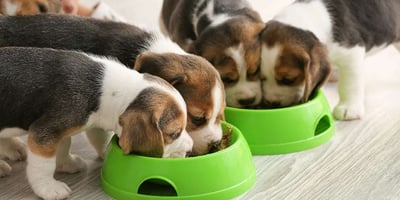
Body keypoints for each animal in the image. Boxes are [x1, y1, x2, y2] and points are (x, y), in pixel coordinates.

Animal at [0, 47, 194, 200]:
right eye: (174, 134)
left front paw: (66, 164)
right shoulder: (44, 132)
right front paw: (48, 187)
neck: (109, 91)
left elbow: (64, 146)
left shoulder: (62, 129)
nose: (191, 146)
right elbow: (44, 166)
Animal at [260, 0, 400, 120]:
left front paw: (349, 109)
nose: (272, 103)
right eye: (261, 78)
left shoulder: (351, 53)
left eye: (288, 79)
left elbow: (349, 84)